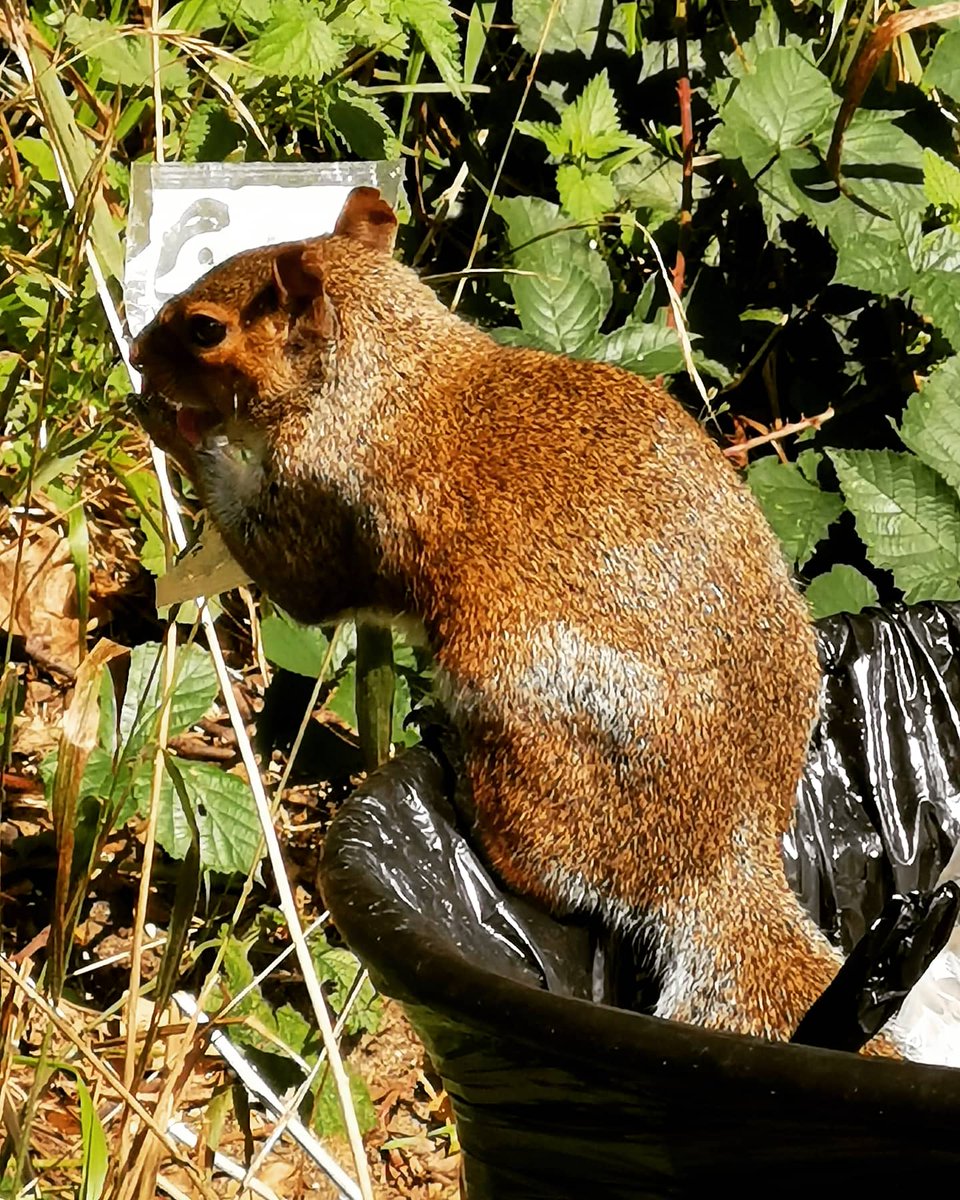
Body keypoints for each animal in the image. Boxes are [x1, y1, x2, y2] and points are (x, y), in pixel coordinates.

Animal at [130, 185, 850, 1045]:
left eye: (206, 329)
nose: (136, 353)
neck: (389, 373)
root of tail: (719, 856)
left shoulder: (324, 493)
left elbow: (299, 580)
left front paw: (173, 426)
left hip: (525, 712)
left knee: (546, 870)